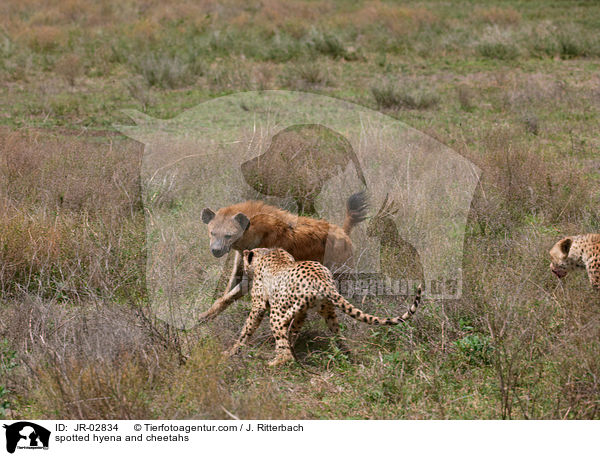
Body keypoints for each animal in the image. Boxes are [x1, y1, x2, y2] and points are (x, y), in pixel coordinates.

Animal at [226, 248, 422, 366]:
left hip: (278, 314)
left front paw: (232, 350)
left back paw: (276, 362)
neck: (266, 252)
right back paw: (347, 355)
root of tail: (321, 278)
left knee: (283, 344)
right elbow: (292, 330)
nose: (242, 268)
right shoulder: (300, 312)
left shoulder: (259, 306)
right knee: (337, 334)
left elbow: (247, 329)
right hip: (327, 310)